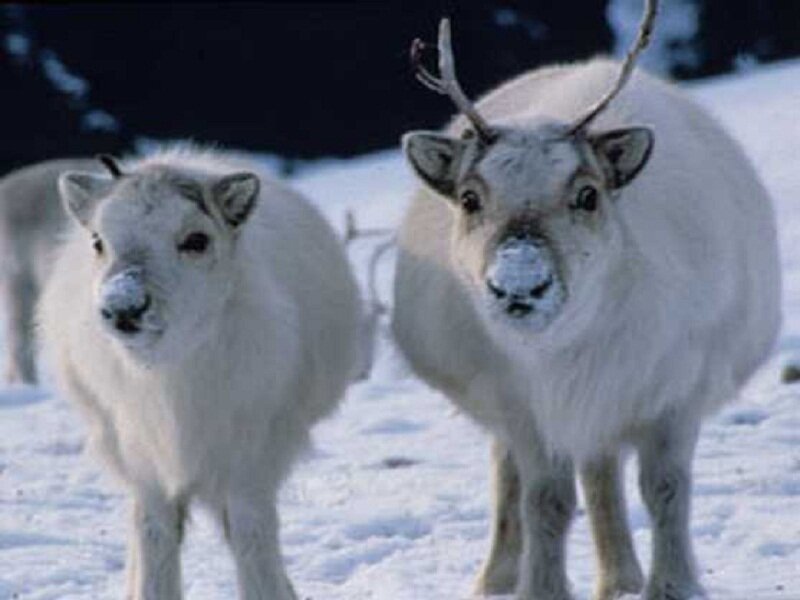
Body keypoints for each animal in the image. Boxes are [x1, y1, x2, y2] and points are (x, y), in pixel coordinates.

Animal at [37, 147, 362, 599]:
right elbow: (154, 538)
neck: (169, 374)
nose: (123, 307)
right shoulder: (146, 466)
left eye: (196, 241)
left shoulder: (250, 462)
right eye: (98, 241)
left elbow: (251, 538)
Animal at [392, 2, 781, 598]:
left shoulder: (676, 389)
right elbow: (545, 501)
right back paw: (498, 578)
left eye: (587, 194)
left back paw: (621, 579)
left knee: (602, 474)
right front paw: (541, 587)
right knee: (512, 473)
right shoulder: (525, 407)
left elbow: (665, 488)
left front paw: (673, 585)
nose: (519, 285)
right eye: (470, 198)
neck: (570, 348)